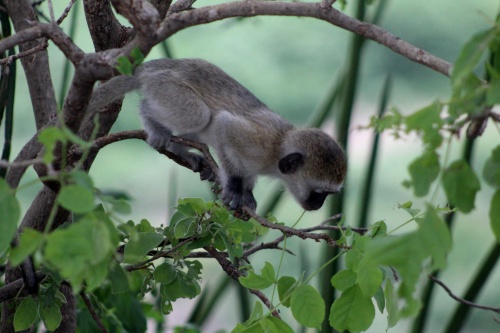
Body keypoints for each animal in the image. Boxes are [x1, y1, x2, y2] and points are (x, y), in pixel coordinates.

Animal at [88, 58, 346, 210]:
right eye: (319, 192)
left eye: (328, 194)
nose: (318, 205)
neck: (278, 150)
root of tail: (156, 66)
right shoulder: (257, 145)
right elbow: (223, 125)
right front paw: (233, 186)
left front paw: (247, 192)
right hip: (166, 87)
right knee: (198, 115)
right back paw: (151, 120)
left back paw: (180, 150)